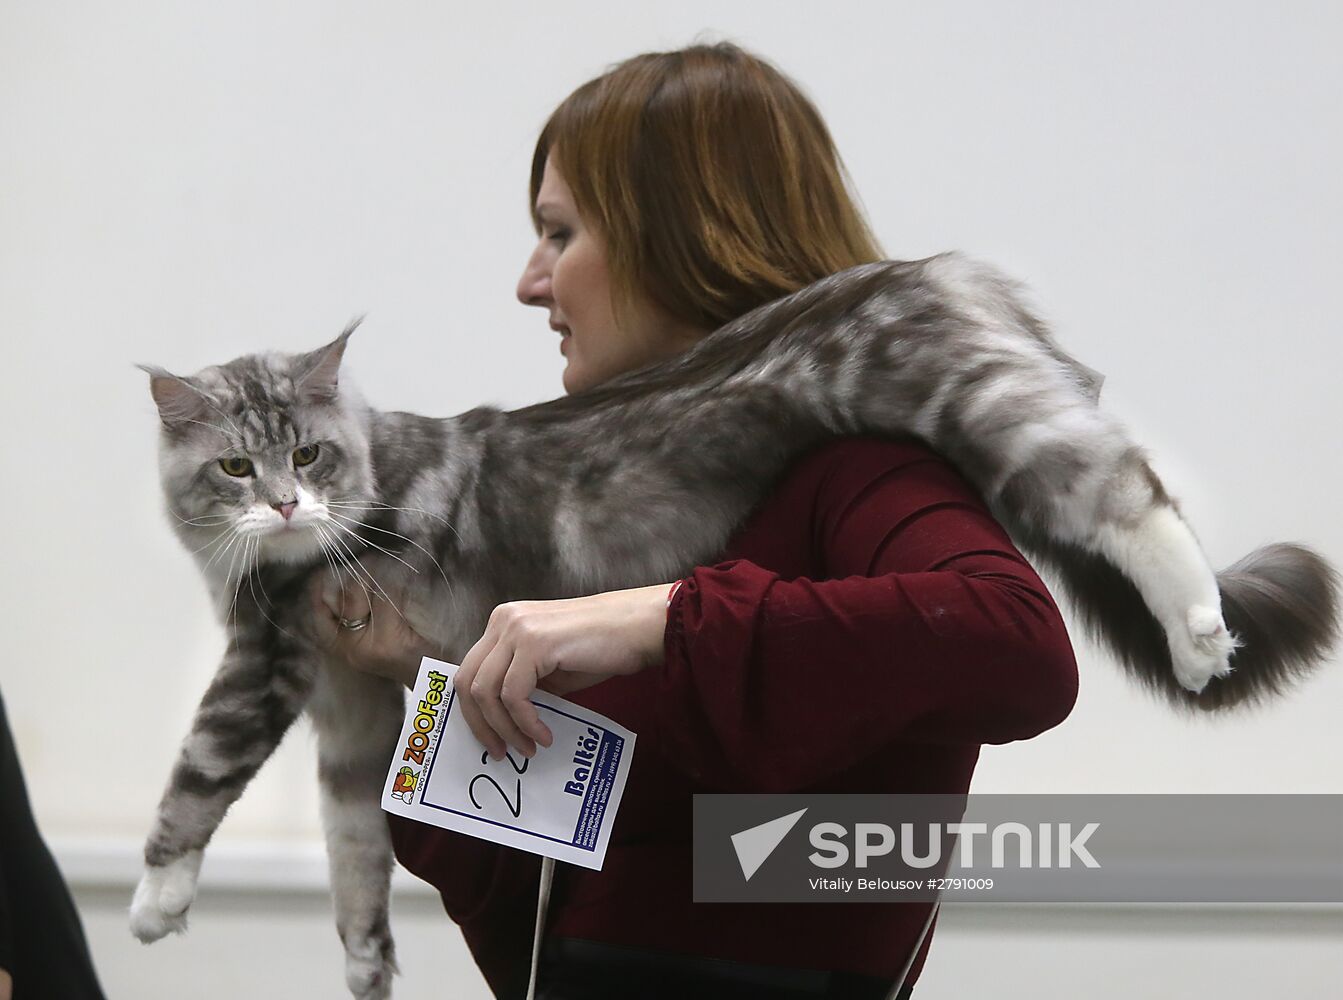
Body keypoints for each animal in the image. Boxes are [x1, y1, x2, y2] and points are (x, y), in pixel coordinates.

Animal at [128, 249, 1332, 998]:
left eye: (309, 454)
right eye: (236, 467)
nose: (287, 506)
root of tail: (936, 268)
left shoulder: (267, 661)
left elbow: (194, 780)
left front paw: (152, 901)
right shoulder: (353, 708)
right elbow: (355, 850)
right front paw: (366, 965)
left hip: (987, 413)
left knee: (1133, 492)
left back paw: (1199, 632)